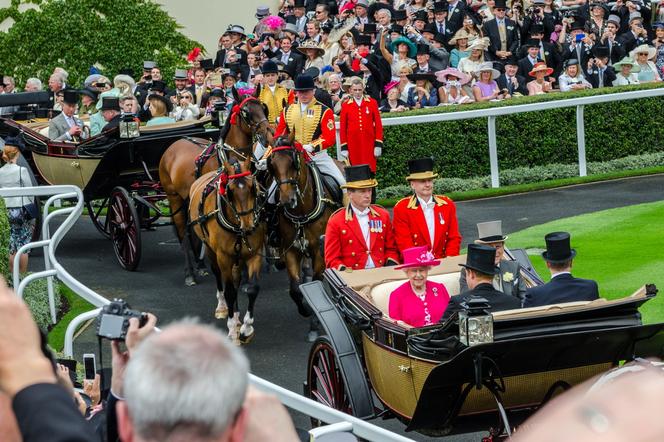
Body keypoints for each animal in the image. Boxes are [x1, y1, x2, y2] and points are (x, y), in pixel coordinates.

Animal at [159, 91, 272, 288]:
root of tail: (175, 143)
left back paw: (201, 265)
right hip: (174, 198)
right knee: (183, 233)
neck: (230, 158)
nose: (268, 132)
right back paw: (190, 273)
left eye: (263, 107)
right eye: (245, 112)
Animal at [187, 156, 264, 346]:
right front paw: (232, 332)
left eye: (253, 187)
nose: (248, 225)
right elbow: (229, 291)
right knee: (218, 276)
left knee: (236, 280)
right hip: (210, 249)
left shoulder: (254, 253)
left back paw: (236, 316)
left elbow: (252, 288)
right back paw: (223, 308)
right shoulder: (224, 257)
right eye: (230, 190)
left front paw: (246, 328)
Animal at [266, 134, 342, 338]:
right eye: (272, 164)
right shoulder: (291, 250)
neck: (301, 212)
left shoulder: (318, 253)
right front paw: (306, 309)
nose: (287, 200)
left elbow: (316, 282)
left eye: (294, 162)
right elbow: (294, 288)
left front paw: (314, 316)